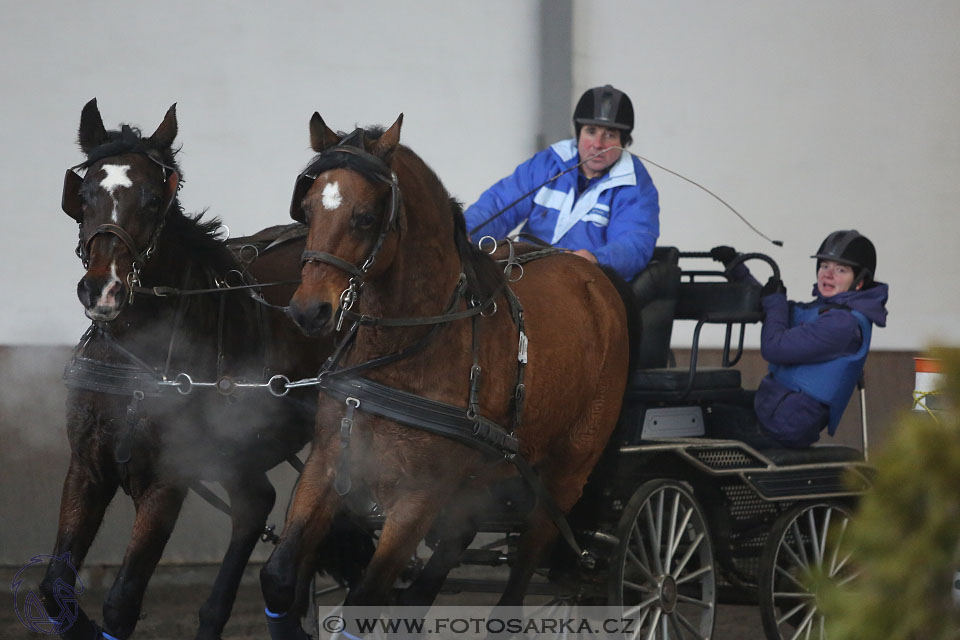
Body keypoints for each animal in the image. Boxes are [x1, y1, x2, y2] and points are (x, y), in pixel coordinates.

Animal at [39, 100, 368, 640]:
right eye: (83, 196)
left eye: (154, 199)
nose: (103, 289)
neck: (135, 355)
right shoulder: (87, 464)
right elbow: (53, 589)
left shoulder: (168, 477)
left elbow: (122, 601)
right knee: (256, 503)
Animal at [260, 115, 632, 636]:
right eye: (309, 210)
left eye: (365, 217)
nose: (308, 311)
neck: (402, 350)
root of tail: (591, 278)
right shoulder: (328, 461)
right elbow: (278, 576)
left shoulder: (420, 493)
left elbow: (364, 599)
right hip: (482, 473)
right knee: (455, 542)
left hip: (568, 468)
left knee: (524, 566)